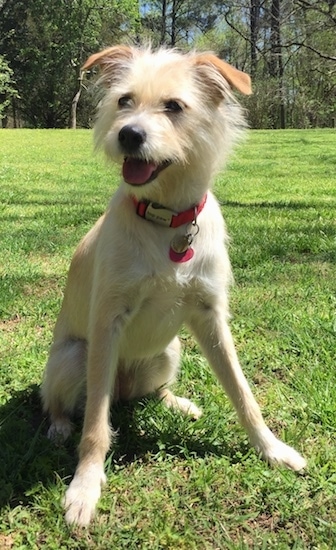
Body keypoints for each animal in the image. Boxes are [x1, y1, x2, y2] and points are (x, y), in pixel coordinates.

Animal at [40, 45, 308, 528]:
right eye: (124, 100)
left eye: (174, 106)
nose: (128, 135)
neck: (166, 219)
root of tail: (125, 386)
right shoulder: (108, 321)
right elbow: (96, 425)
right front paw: (85, 486)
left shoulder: (209, 315)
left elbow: (243, 392)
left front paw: (273, 450)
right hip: (75, 356)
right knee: (66, 401)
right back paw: (59, 424)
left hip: (169, 350)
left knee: (151, 391)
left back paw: (174, 402)